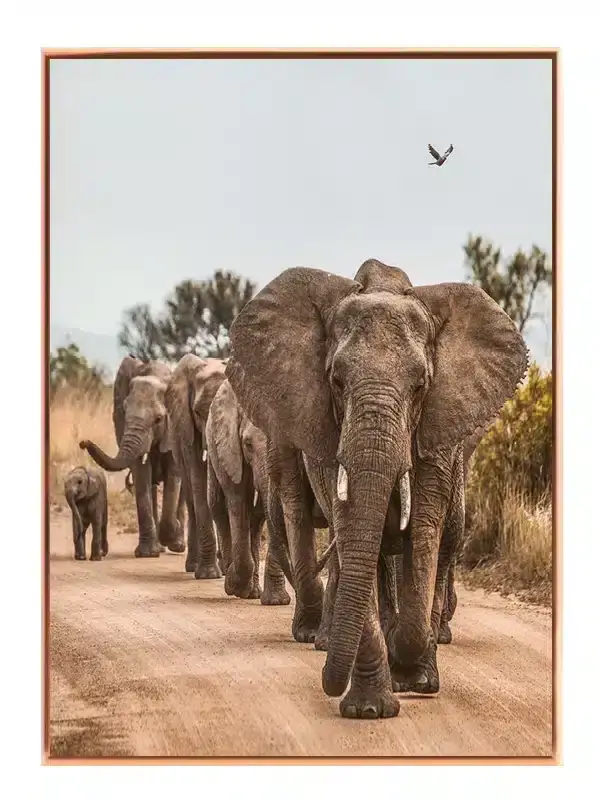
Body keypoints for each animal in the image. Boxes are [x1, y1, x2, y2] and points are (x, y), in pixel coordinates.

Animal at [79, 355, 185, 558]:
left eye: (158, 419)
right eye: (124, 412)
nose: (82, 442)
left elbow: (174, 475)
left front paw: (171, 536)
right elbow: (141, 475)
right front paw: (147, 554)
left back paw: (178, 544)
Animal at [165, 354, 229, 578]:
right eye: (199, 412)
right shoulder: (187, 425)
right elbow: (199, 481)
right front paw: (208, 574)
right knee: (192, 498)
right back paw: (194, 566)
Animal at [205, 377, 291, 603]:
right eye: (248, 444)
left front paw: (276, 602)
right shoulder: (230, 447)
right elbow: (237, 501)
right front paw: (233, 585)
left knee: (257, 517)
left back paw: (252, 592)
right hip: (213, 446)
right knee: (217, 506)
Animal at [226, 259, 528, 718]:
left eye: (420, 386)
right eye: (335, 381)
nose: (326, 681)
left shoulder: (437, 432)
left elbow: (424, 535)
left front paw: (412, 674)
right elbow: (352, 533)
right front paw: (370, 710)